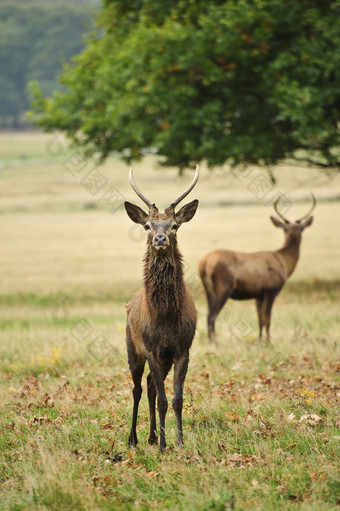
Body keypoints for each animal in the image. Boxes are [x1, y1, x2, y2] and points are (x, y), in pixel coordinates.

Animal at [124, 165, 199, 452]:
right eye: (147, 224)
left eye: (175, 225)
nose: (160, 238)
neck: (165, 317)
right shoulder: (152, 349)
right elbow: (163, 401)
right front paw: (165, 447)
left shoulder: (182, 350)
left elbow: (176, 399)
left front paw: (178, 442)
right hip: (132, 349)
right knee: (137, 388)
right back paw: (134, 438)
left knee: (150, 386)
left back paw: (152, 435)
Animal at [199, 195, 316, 344]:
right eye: (286, 229)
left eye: (300, 228)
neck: (284, 262)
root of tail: (204, 263)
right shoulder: (271, 290)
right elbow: (267, 319)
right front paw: (268, 342)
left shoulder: (258, 294)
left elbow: (260, 319)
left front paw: (260, 340)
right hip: (223, 286)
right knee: (212, 315)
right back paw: (215, 343)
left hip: (208, 289)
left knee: (208, 313)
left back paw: (211, 341)